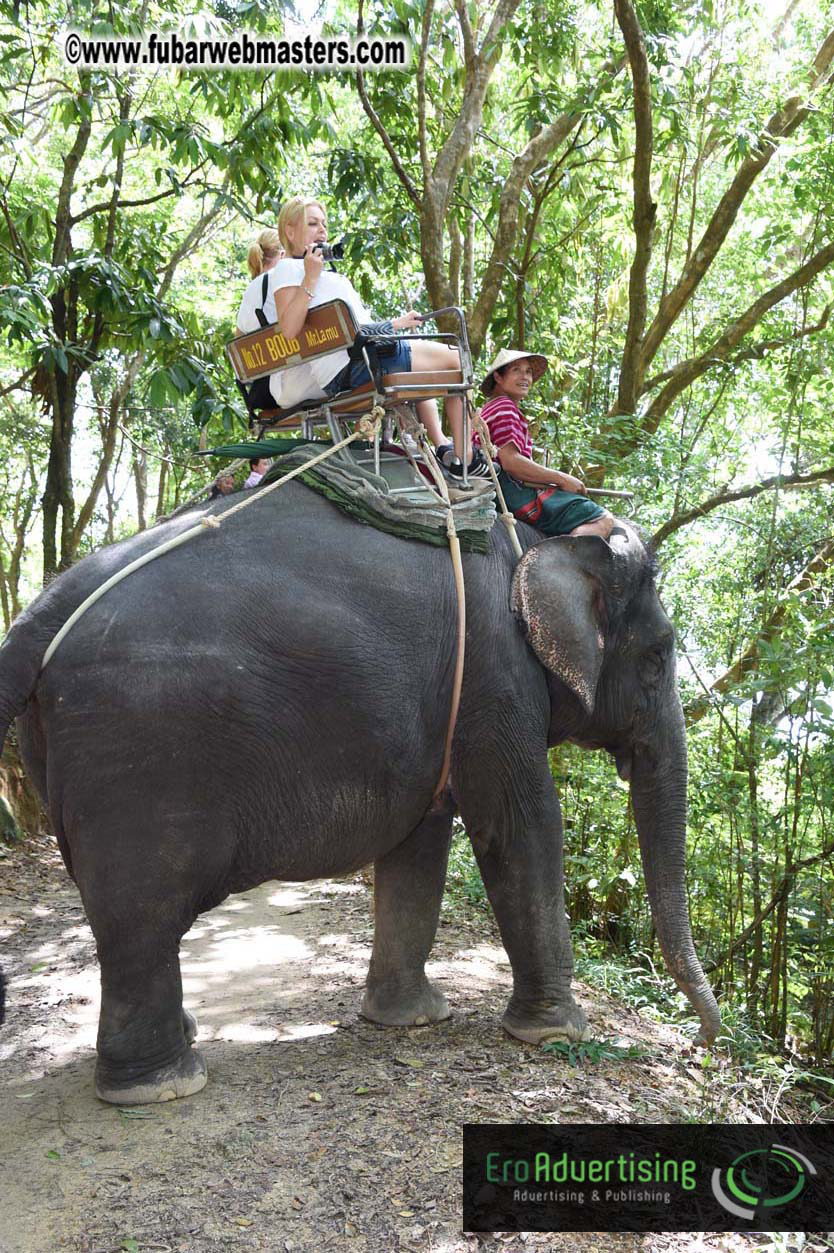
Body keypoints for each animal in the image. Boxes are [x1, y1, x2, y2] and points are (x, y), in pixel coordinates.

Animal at [0, 479, 719, 1103]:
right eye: (658, 656)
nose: (704, 1044)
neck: (541, 538)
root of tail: (38, 616)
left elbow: (419, 846)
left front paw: (409, 1020)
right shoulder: (496, 673)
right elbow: (523, 823)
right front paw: (555, 1032)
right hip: (139, 750)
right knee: (142, 915)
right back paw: (162, 1084)